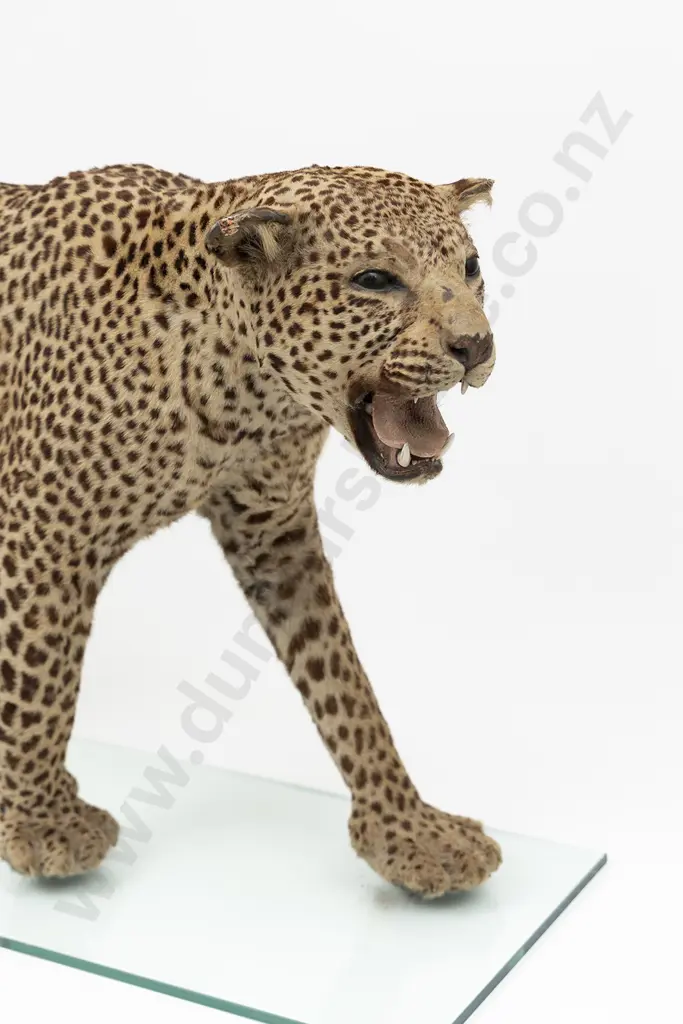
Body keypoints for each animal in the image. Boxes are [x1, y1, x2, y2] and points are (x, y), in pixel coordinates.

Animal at [0, 161, 500, 899]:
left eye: (470, 269)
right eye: (374, 280)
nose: (476, 345)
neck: (242, 390)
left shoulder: (277, 533)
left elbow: (343, 681)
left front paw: (406, 828)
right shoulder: (42, 534)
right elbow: (40, 682)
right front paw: (43, 823)